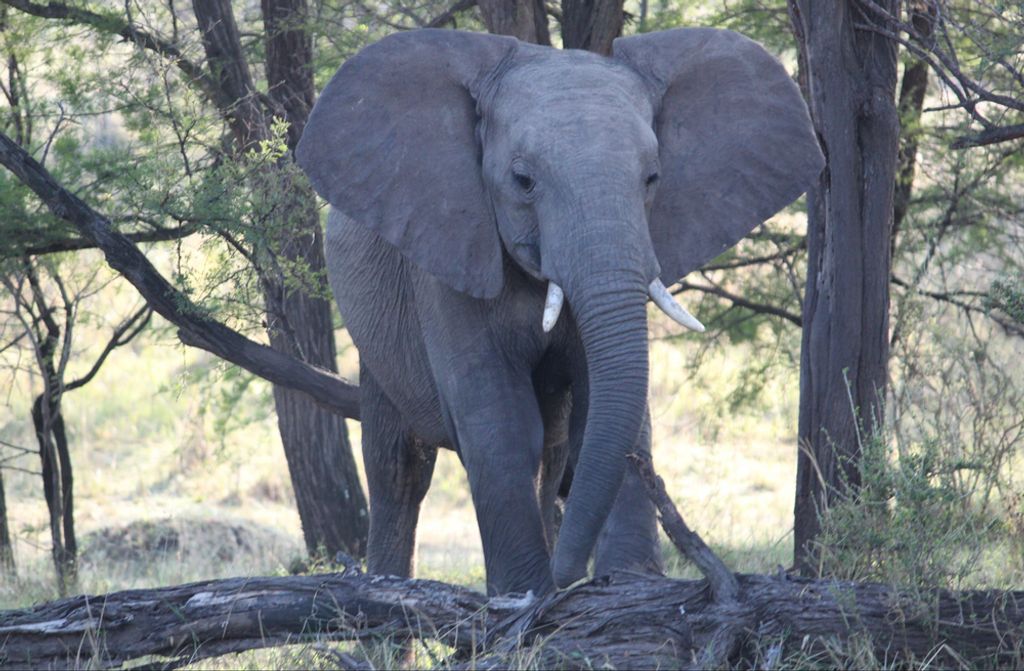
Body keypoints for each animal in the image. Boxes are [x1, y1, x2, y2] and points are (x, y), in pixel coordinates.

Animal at [296, 27, 823, 596]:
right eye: (523, 180)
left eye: (652, 178)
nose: (567, 580)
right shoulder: (448, 255)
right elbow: (500, 424)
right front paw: (526, 595)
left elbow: (604, 413)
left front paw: (628, 583)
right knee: (400, 468)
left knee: (550, 455)